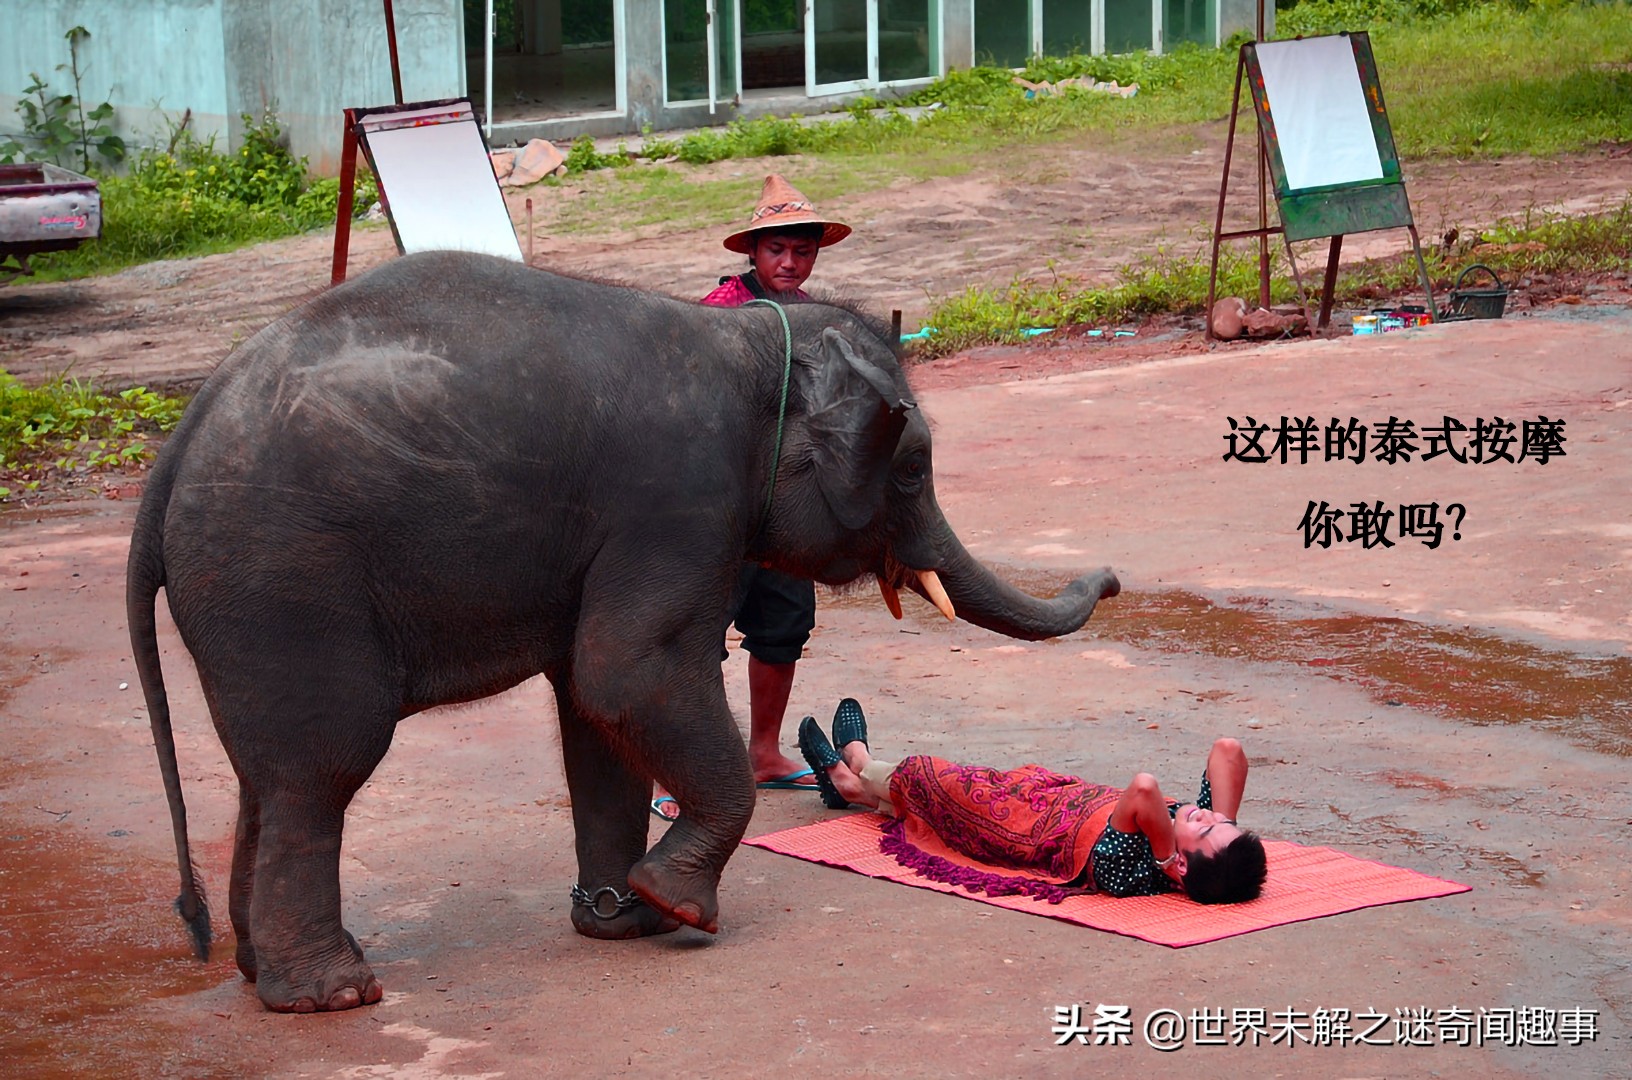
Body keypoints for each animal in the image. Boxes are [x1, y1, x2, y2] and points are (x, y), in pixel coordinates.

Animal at [130, 251, 1122, 1018]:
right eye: (913, 471)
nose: (1111, 577)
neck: (752, 343)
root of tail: (176, 445)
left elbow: (591, 704)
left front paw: (623, 920)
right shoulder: (678, 501)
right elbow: (628, 676)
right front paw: (680, 909)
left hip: (248, 596)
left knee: (269, 774)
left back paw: (262, 973)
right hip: (284, 574)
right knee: (324, 762)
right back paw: (333, 996)